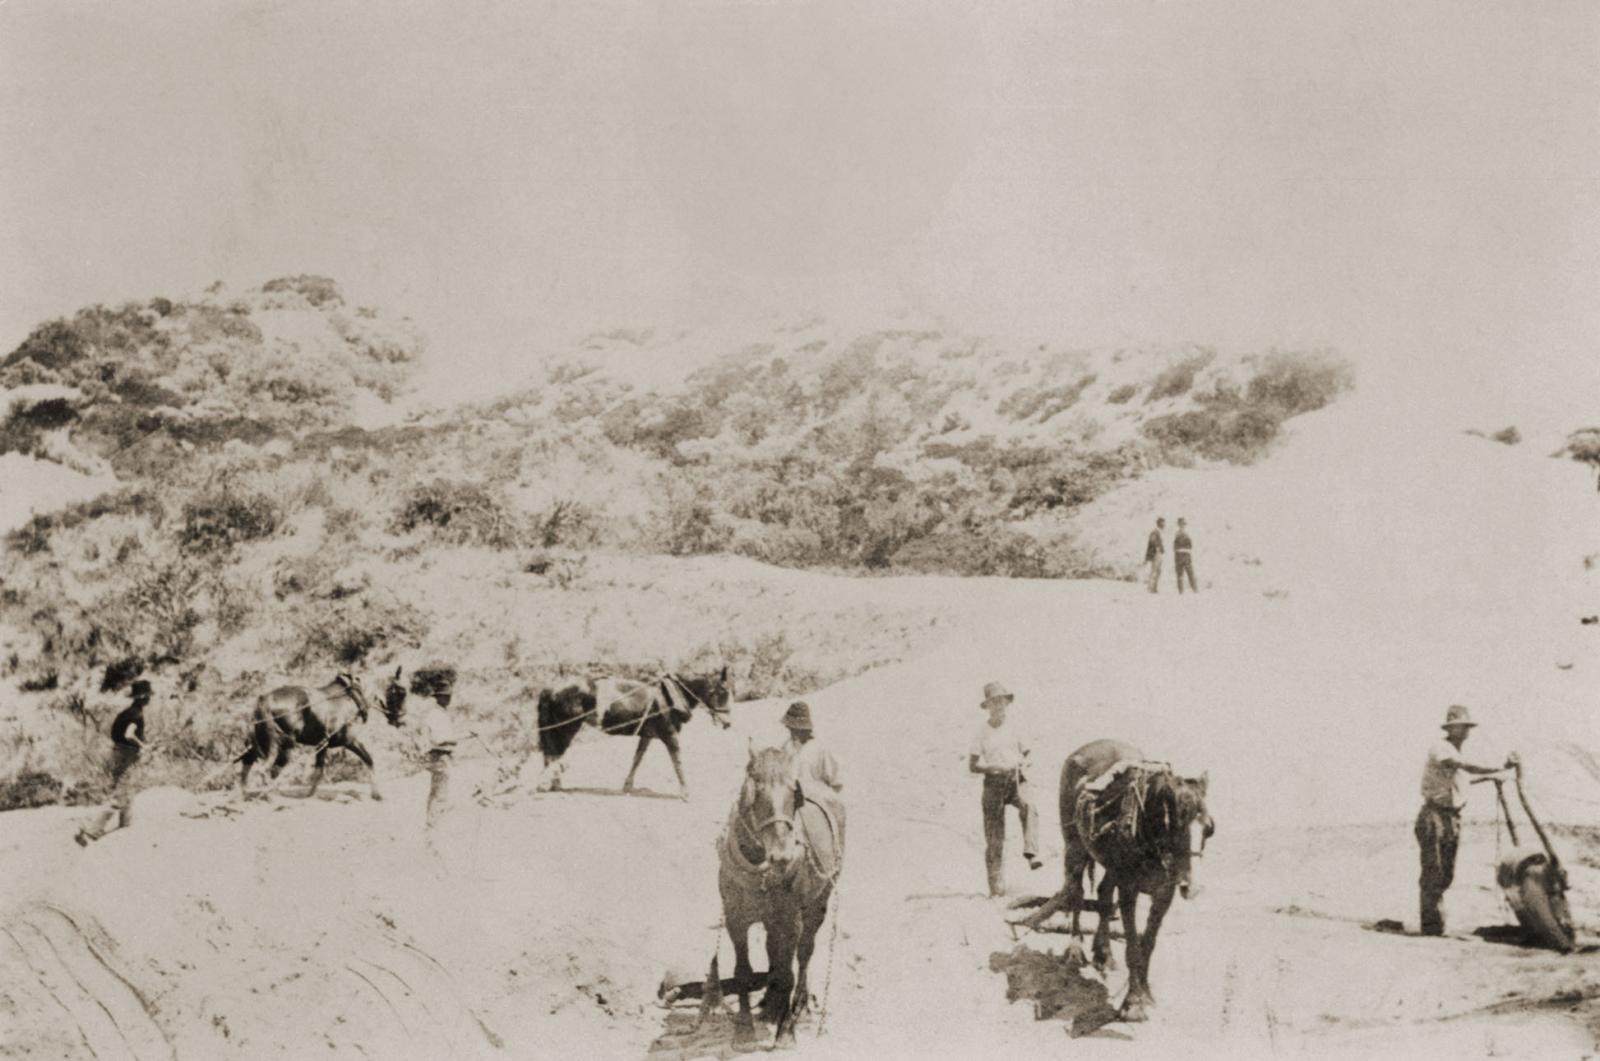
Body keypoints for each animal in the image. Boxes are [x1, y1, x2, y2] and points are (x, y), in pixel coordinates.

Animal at [240, 668, 412, 800]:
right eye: (402, 693)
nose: (402, 720)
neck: (352, 698)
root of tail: (264, 700)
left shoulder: (323, 744)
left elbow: (319, 771)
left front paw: (309, 795)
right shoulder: (350, 741)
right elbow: (368, 759)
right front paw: (377, 794)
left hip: (261, 743)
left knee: (248, 762)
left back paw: (243, 794)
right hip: (285, 745)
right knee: (270, 770)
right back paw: (271, 795)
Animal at [537, 668, 736, 800]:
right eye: (720, 693)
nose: (728, 723)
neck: (669, 697)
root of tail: (550, 688)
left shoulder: (647, 735)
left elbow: (638, 758)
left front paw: (627, 785)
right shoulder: (669, 734)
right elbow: (677, 761)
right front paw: (685, 792)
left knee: (552, 752)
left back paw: (553, 783)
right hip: (567, 727)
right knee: (555, 752)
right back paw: (551, 784)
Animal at [704, 742, 844, 1049]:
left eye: (794, 793)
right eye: (756, 790)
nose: (782, 856)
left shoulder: (791, 920)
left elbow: (788, 971)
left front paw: (786, 1031)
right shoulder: (734, 918)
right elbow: (744, 972)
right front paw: (744, 1029)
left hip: (817, 904)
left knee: (803, 955)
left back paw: (798, 1006)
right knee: (773, 952)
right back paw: (771, 1005)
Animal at [1030, 739, 1216, 1024]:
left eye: (1208, 829)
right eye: (1175, 825)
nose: (1193, 887)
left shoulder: (1165, 893)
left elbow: (1147, 944)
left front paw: (1146, 993)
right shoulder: (1129, 890)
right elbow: (1132, 947)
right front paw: (1133, 1003)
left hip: (1110, 866)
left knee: (1104, 895)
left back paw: (1103, 953)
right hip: (1074, 848)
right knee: (1076, 892)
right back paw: (1076, 951)